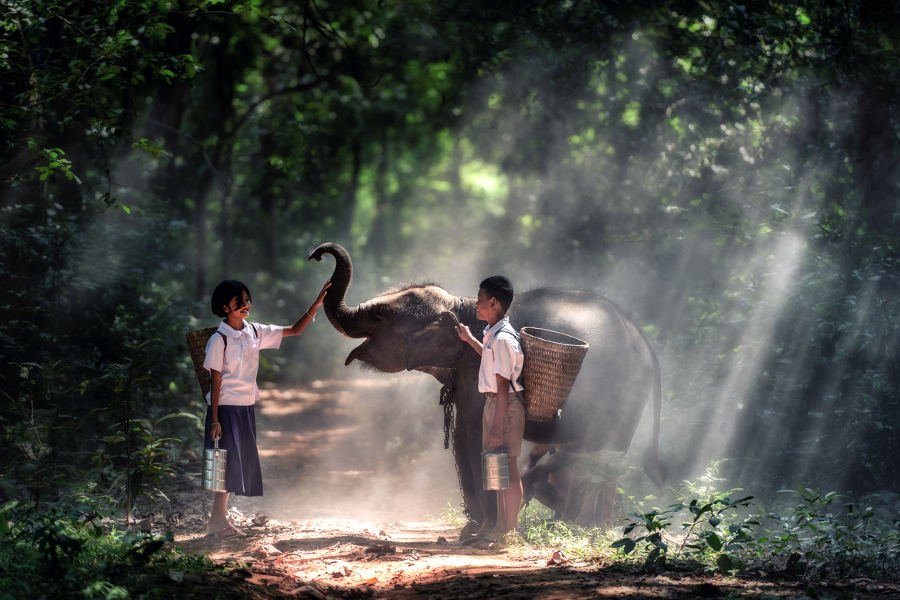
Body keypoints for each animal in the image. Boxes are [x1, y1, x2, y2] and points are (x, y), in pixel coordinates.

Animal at [308, 242, 664, 535]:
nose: (317, 255)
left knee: (600, 455)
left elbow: (478, 438)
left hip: (624, 392)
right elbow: (462, 438)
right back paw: (575, 521)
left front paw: (484, 531)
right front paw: (472, 531)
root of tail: (643, 339)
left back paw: (585, 526)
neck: (462, 304)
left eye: (380, 316)